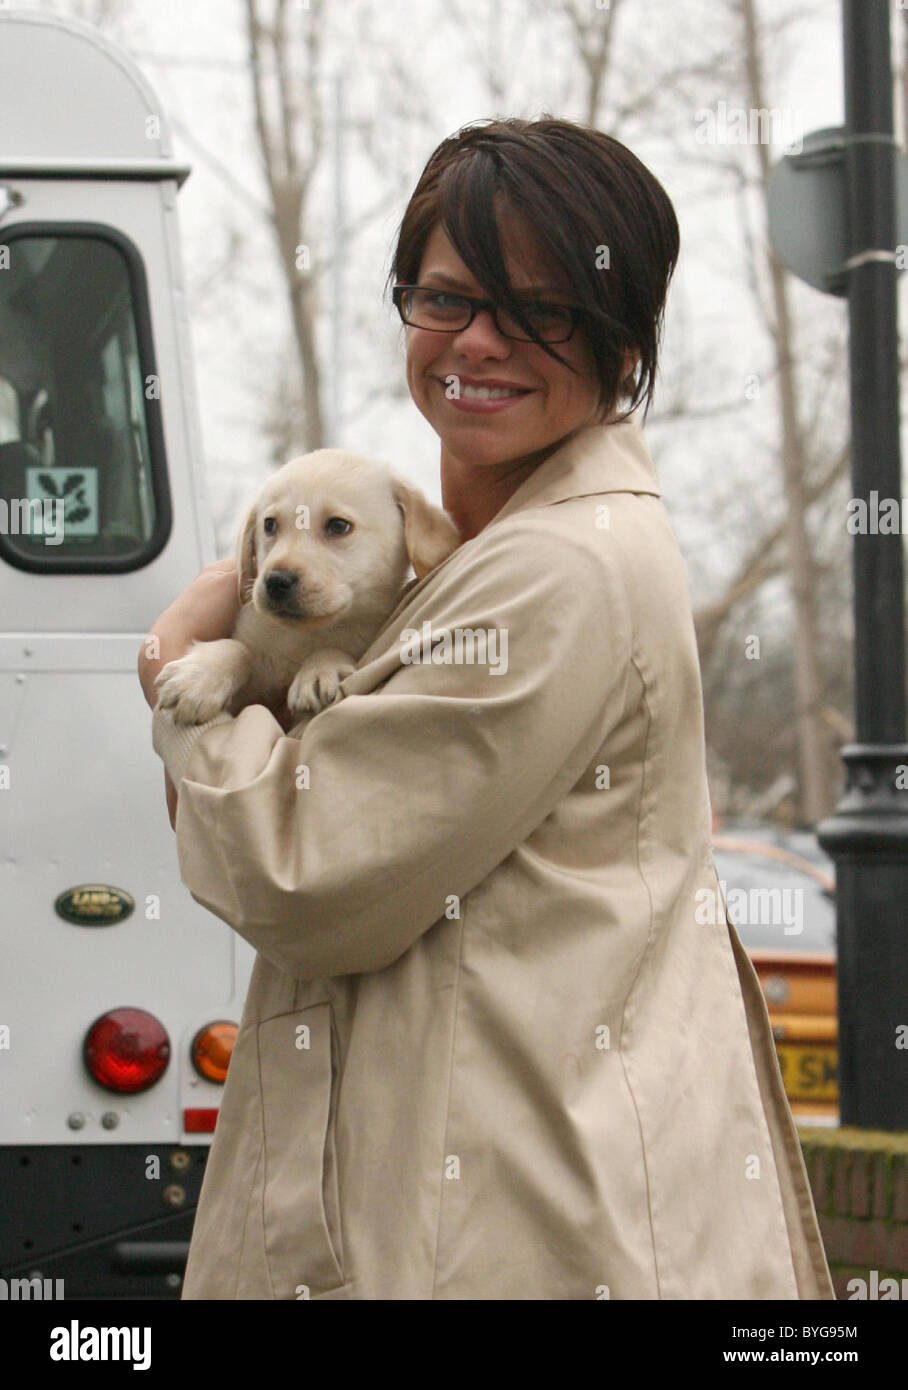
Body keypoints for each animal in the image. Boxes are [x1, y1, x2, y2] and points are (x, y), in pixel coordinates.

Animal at [154, 447, 461, 728]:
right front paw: (199, 675)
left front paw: (319, 670)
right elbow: (238, 647)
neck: (302, 636)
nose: (276, 581)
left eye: (338, 526)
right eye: (269, 525)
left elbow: (333, 648)